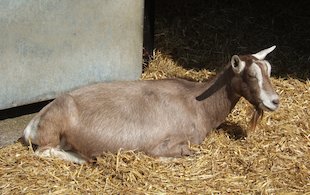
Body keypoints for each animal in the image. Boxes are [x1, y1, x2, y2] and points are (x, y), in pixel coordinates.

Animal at [22, 45, 278, 163]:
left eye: (268, 69)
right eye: (251, 75)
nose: (274, 101)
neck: (196, 102)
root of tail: (32, 125)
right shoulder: (166, 141)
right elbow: (185, 153)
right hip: (54, 133)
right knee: (44, 151)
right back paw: (82, 158)